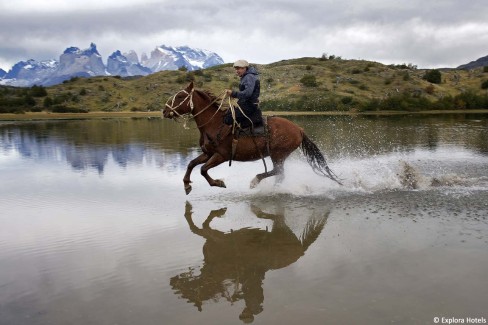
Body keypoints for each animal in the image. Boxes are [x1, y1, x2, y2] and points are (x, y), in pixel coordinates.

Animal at [162, 81, 342, 194]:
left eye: (180, 97)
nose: (164, 111)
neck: (214, 123)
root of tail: (299, 129)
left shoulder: (221, 155)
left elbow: (203, 169)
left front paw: (218, 183)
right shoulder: (208, 153)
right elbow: (192, 164)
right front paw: (187, 185)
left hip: (278, 154)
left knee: (278, 172)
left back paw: (257, 182)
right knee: (279, 174)